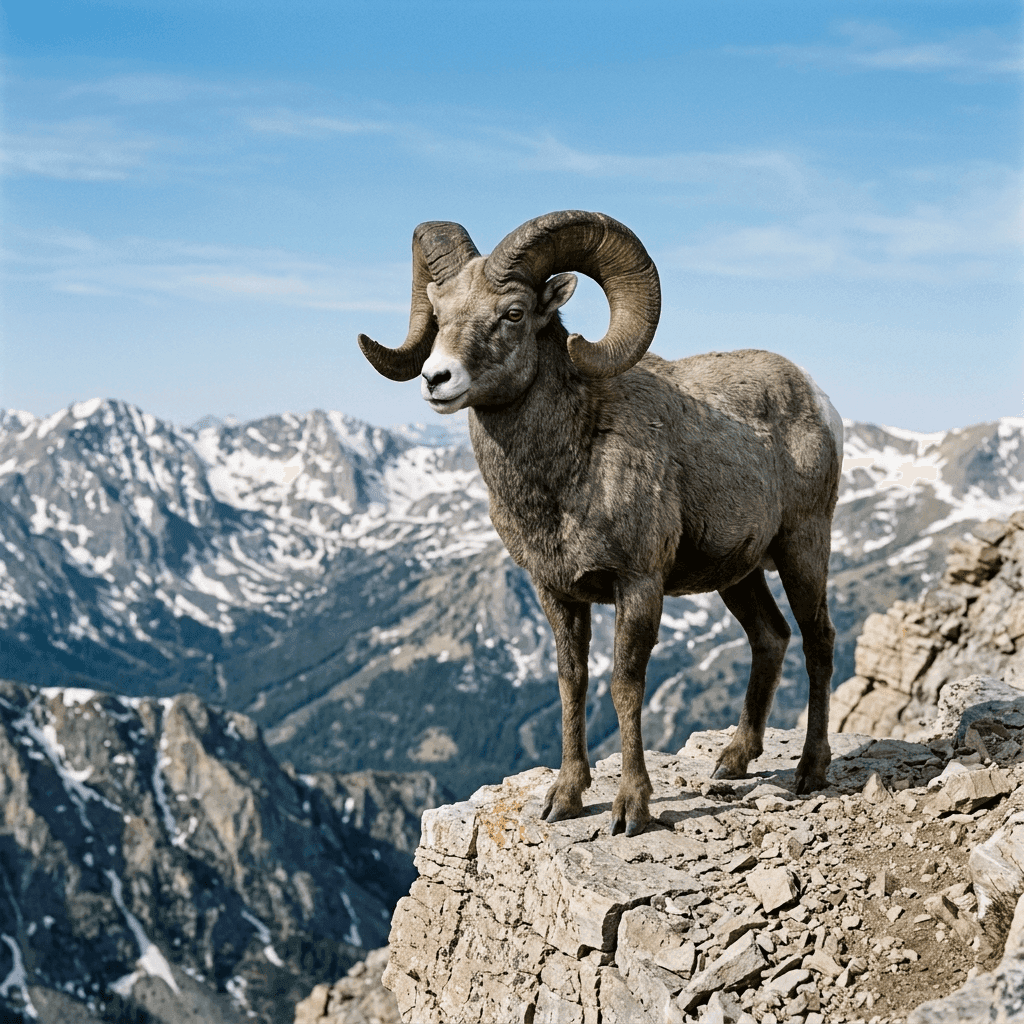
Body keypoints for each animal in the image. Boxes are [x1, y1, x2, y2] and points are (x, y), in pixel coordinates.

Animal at [358, 210, 843, 837]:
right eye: (438, 313)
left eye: (513, 313)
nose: (436, 379)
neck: (568, 471)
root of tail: (818, 399)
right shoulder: (557, 593)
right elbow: (573, 684)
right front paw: (565, 798)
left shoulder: (638, 586)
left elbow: (625, 687)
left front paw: (630, 810)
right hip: (738, 575)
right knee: (771, 637)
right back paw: (733, 762)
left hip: (803, 547)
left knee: (817, 640)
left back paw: (809, 771)